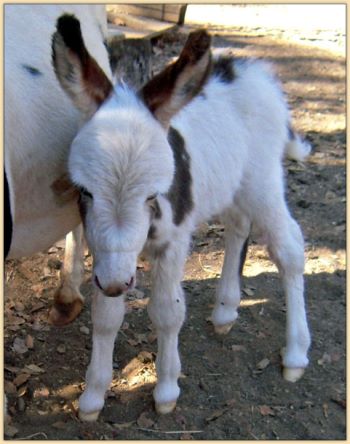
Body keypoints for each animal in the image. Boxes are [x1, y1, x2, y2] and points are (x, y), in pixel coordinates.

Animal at [52, 15, 312, 422]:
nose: (116, 283)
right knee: (239, 226)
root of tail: (252, 69)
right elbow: (106, 316)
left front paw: (166, 390)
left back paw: (296, 354)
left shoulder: (173, 243)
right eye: (85, 191)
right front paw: (93, 396)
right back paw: (225, 311)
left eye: (152, 195)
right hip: (230, 183)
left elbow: (167, 312)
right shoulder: (104, 252)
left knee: (289, 249)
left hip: (262, 181)